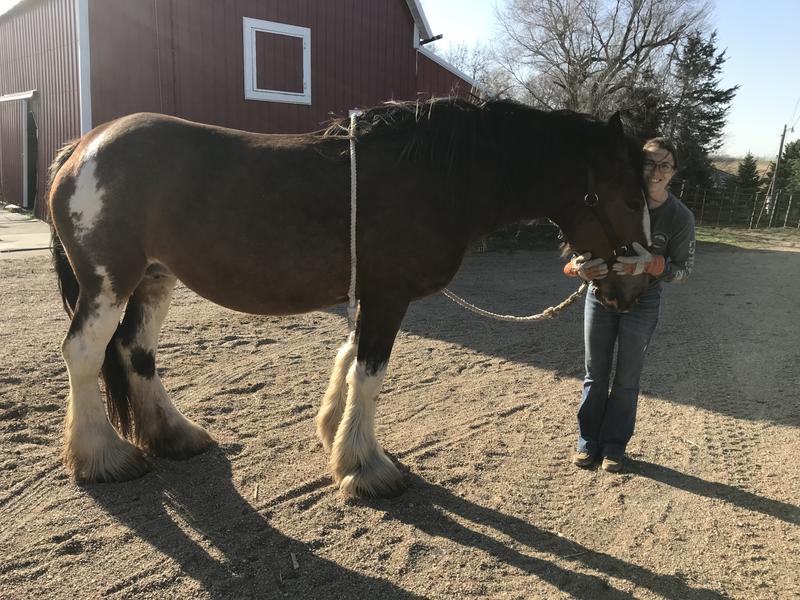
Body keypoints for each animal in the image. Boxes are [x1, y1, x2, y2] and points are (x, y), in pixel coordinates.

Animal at [48, 97, 649, 498]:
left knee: (137, 353)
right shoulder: (388, 297)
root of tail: (81, 148)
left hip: (154, 279)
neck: (436, 176)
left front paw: (335, 436)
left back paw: (174, 436)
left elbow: (349, 358)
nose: (634, 285)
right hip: (109, 282)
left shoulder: (370, 295)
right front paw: (367, 467)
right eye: (627, 196)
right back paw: (102, 458)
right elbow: (370, 374)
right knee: (84, 353)